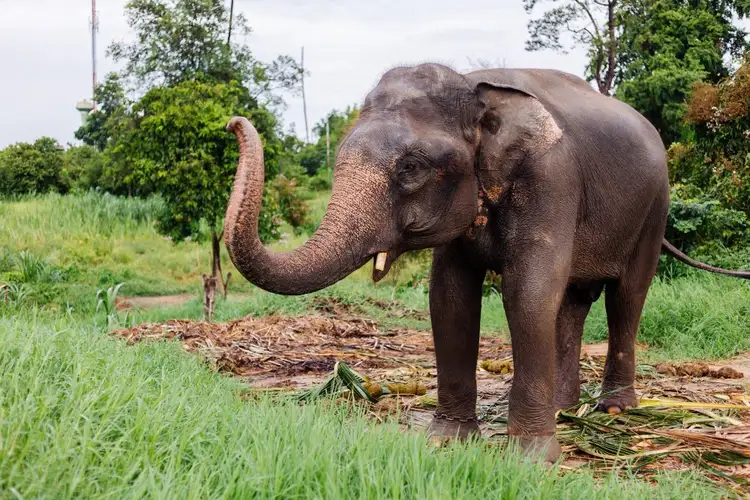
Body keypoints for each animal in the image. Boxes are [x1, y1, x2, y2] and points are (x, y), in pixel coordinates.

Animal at [222, 63, 750, 462]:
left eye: (410, 167)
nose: (232, 123)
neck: (477, 86)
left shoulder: (552, 178)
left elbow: (528, 290)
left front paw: (532, 458)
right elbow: (450, 297)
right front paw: (447, 442)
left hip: (654, 209)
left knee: (627, 297)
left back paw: (613, 411)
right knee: (574, 302)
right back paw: (565, 408)